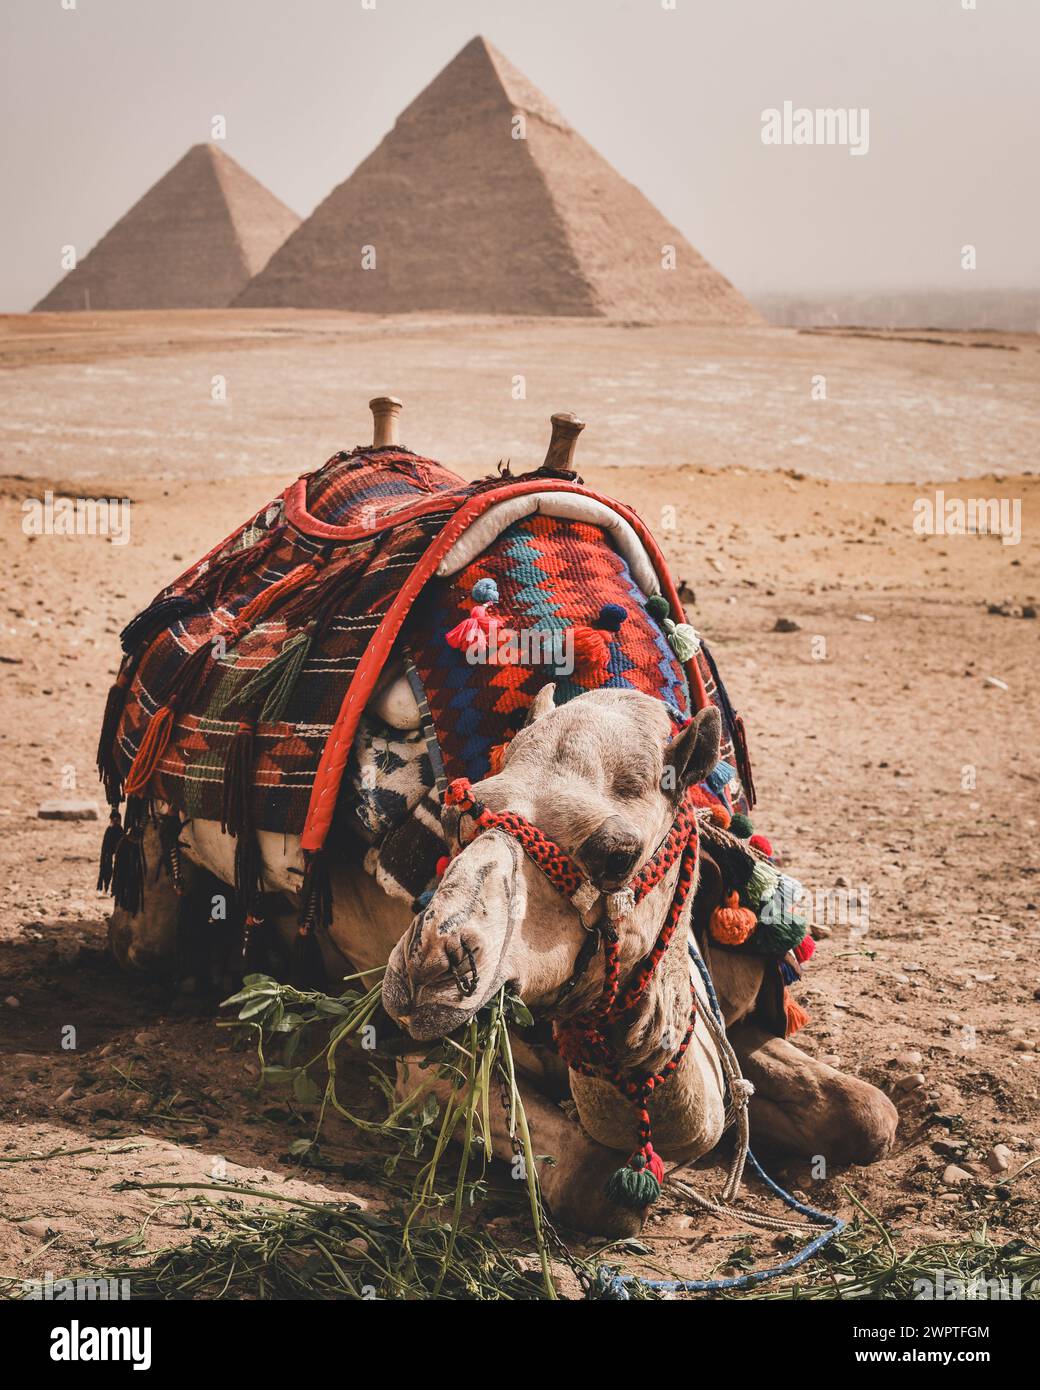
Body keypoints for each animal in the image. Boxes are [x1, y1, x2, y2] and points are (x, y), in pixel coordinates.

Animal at [109, 681, 897, 1237]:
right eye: (465, 809)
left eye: (618, 853)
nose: (430, 968)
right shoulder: (427, 1065)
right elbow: (595, 1186)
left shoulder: (728, 1016)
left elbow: (870, 1115)